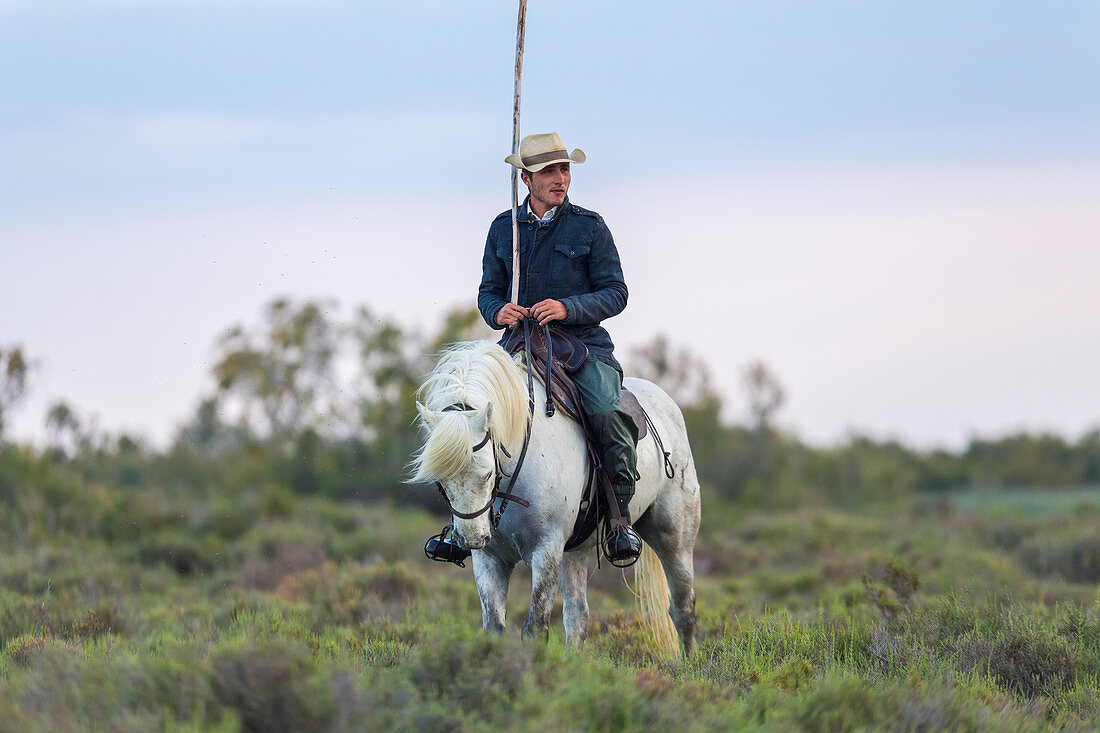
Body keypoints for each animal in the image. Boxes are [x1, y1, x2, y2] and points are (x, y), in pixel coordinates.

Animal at [409, 338, 699, 651]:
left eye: (486, 473)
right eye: (441, 482)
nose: (471, 539)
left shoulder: (545, 550)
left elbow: (535, 627)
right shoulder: (490, 557)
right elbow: (495, 627)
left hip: (674, 540)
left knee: (683, 608)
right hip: (573, 552)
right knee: (577, 616)